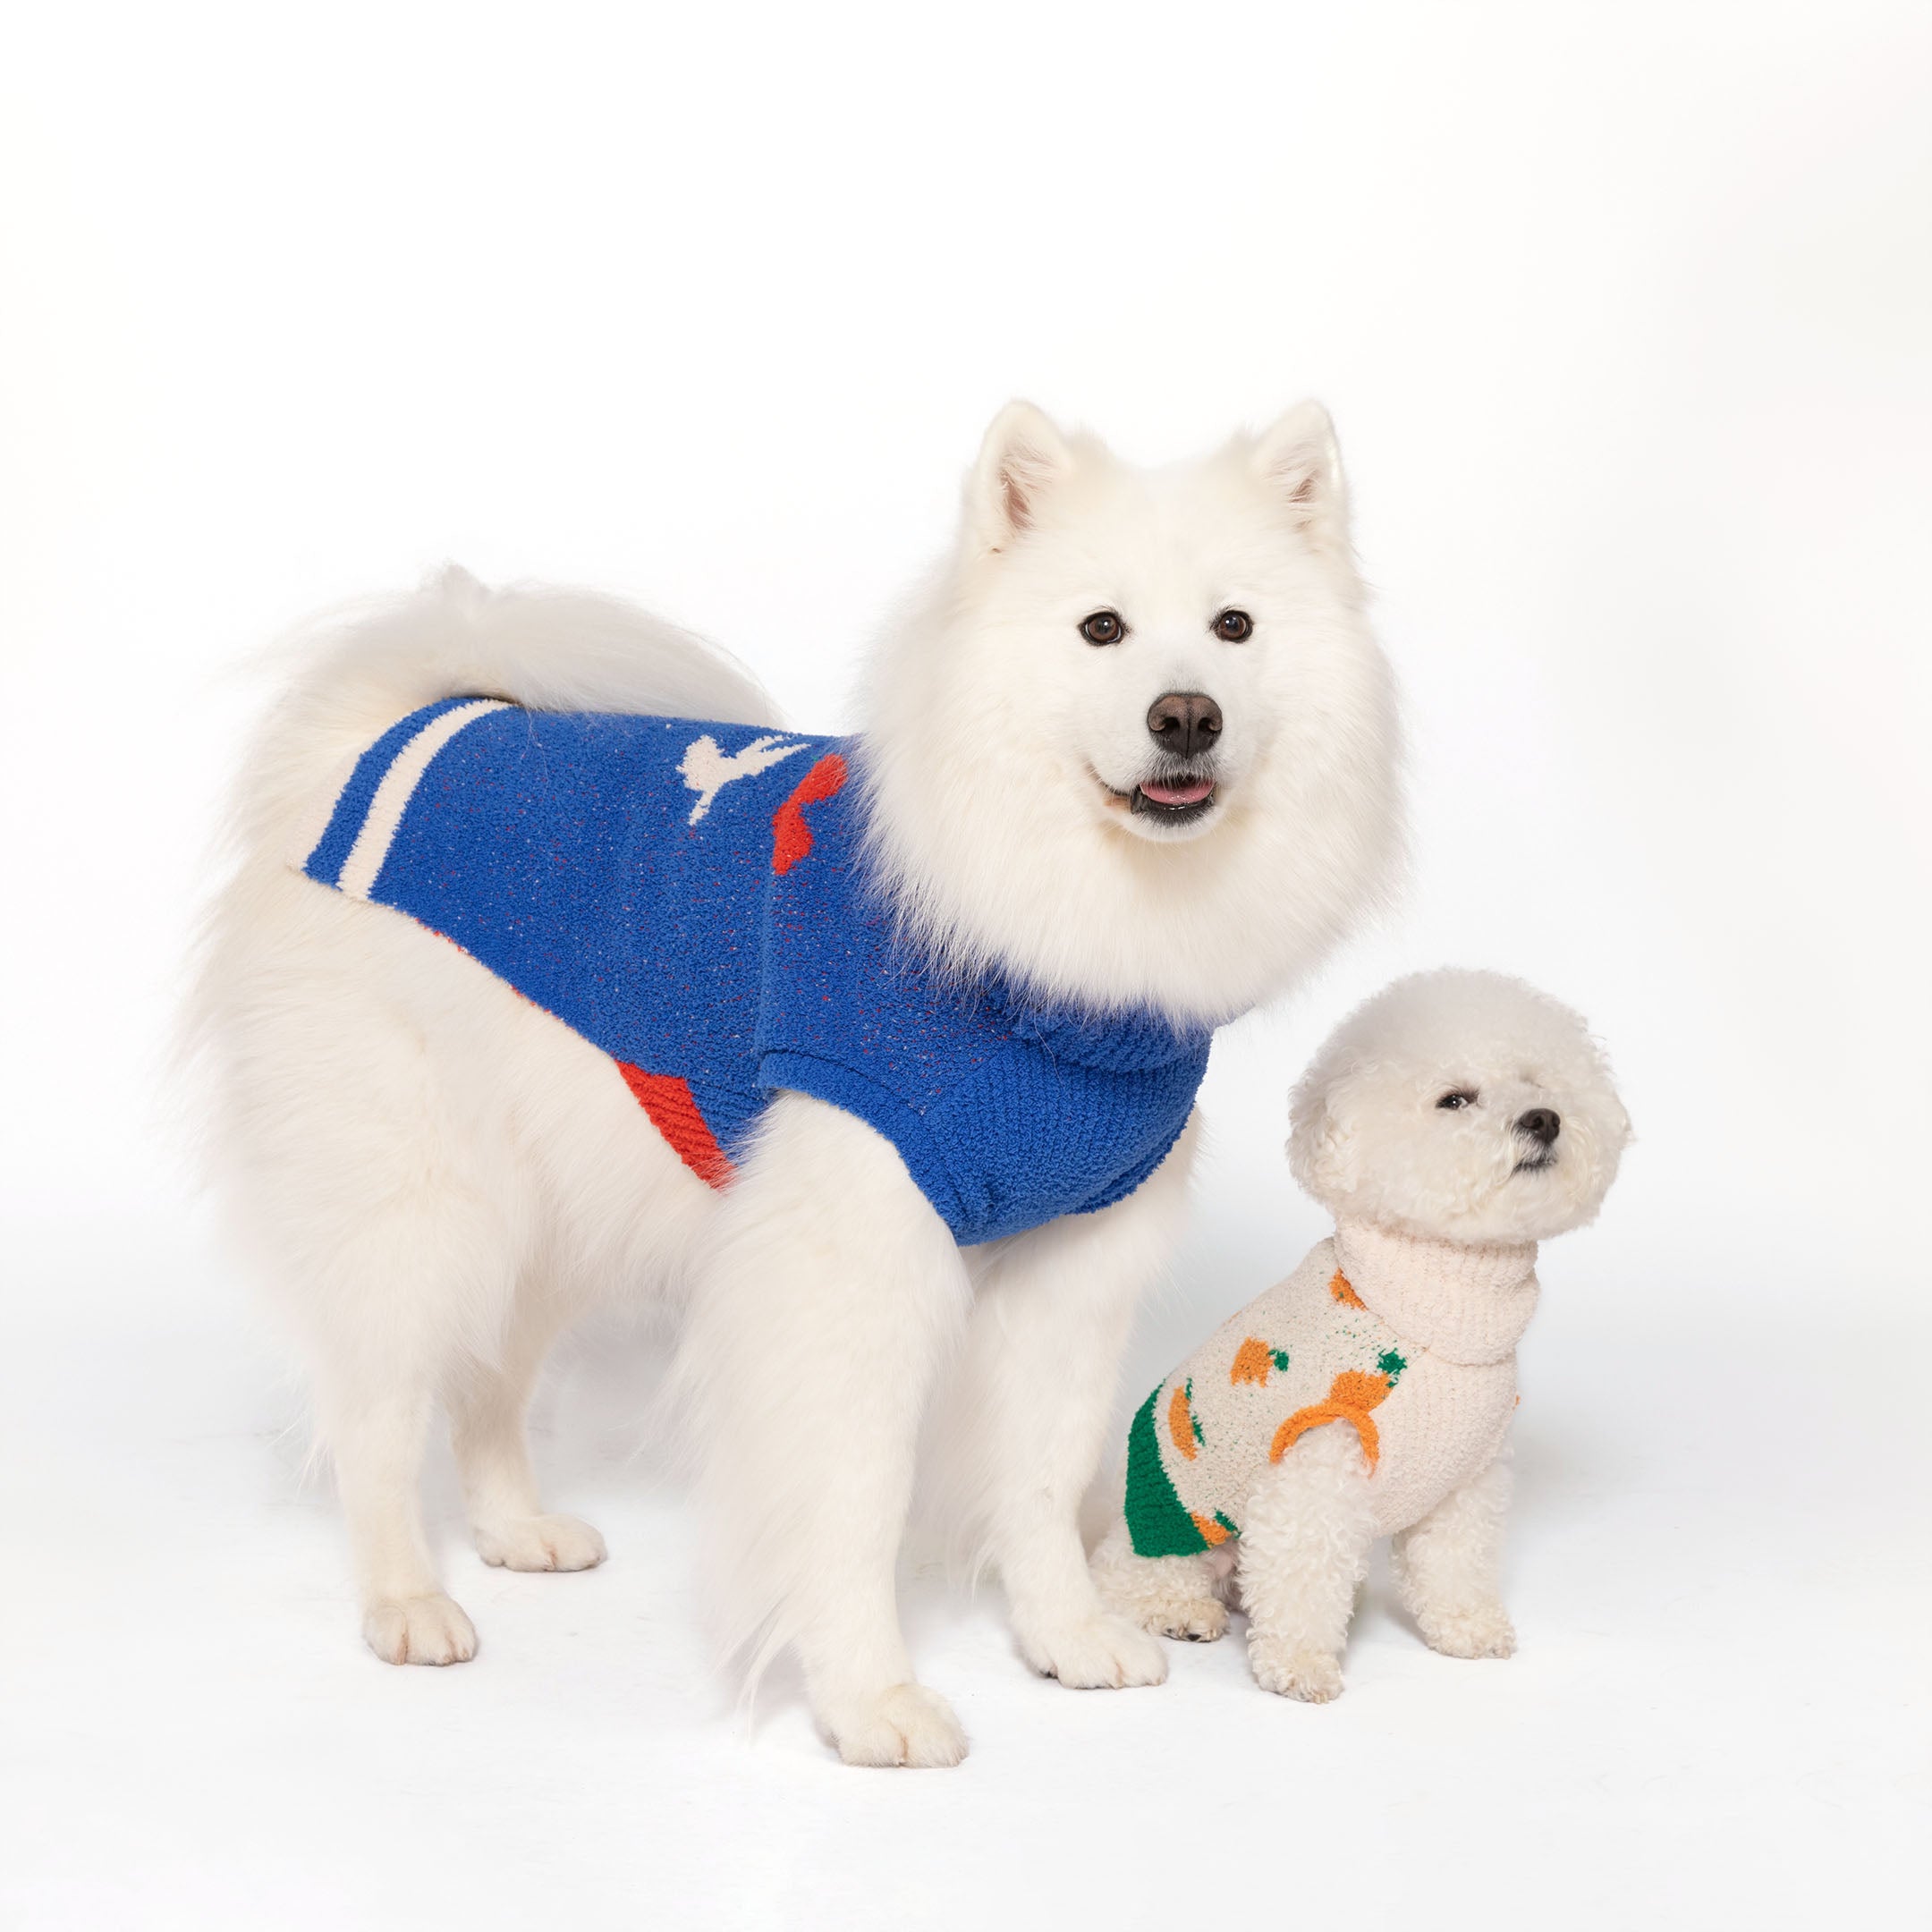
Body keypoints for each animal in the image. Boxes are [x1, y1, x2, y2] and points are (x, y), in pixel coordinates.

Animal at [188, 403, 1406, 1769]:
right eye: (1103, 629)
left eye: (1236, 627)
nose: (1186, 715)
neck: (1027, 954)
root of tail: (407, 730)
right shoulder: (855, 1266)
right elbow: (852, 1496)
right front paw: (870, 1700)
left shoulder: (1073, 1267)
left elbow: (1040, 1480)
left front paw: (1065, 1638)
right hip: (420, 1204)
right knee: (380, 1410)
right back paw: (406, 1599)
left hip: (556, 1205)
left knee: (490, 1381)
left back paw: (515, 1532)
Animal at [1097, 973, 1623, 1699]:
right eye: (1455, 1099)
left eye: (1534, 1082)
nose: (1544, 1118)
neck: (1435, 1311)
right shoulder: (1314, 1472)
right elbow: (1302, 1576)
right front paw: (1299, 1666)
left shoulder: (1464, 1481)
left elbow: (1454, 1562)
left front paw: (1467, 1627)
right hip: (1178, 1520)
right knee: (1132, 1576)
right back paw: (1181, 1611)